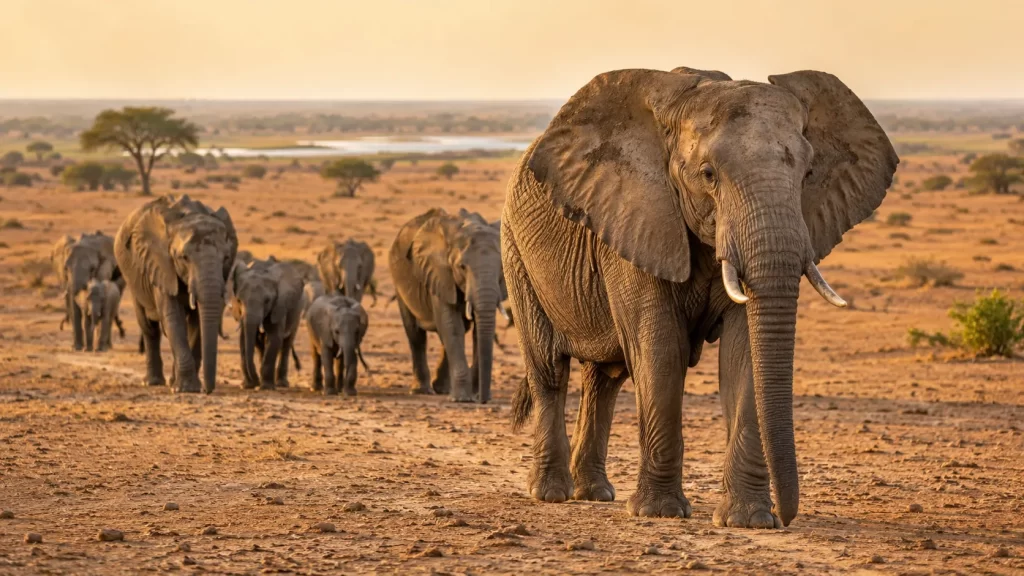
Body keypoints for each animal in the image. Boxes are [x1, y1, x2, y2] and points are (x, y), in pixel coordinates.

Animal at [115, 195, 238, 394]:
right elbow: (173, 318)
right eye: (184, 258)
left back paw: (172, 380)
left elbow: (197, 323)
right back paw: (152, 382)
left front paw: (186, 387)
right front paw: (186, 389)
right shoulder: (160, 264)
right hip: (132, 277)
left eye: (226, 258)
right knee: (149, 328)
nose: (208, 390)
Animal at [229, 256, 305, 390]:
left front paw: (266, 387)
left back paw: (281, 383)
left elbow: (274, 338)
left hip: (297, 311)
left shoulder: (279, 306)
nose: (254, 383)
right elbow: (243, 339)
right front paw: (248, 385)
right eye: (239, 300)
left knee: (286, 344)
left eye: (267, 301)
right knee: (260, 345)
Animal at [388, 208, 508, 403]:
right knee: (416, 335)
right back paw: (422, 390)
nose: (483, 400)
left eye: (501, 268)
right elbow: (452, 326)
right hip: (399, 283)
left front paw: (472, 395)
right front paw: (462, 400)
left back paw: (442, 389)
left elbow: (474, 330)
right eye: (462, 267)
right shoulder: (438, 273)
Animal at [502, 67, 897, 528]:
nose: (786, 516)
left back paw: (595, 493)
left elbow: (744, 352)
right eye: (708, 174)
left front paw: (747, 520)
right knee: (549, 369)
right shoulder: (640, 216)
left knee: (605, 379)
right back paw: (552, 493)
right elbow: (660, 348)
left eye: (807, 174)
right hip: (515, 249)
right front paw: (659, 513)